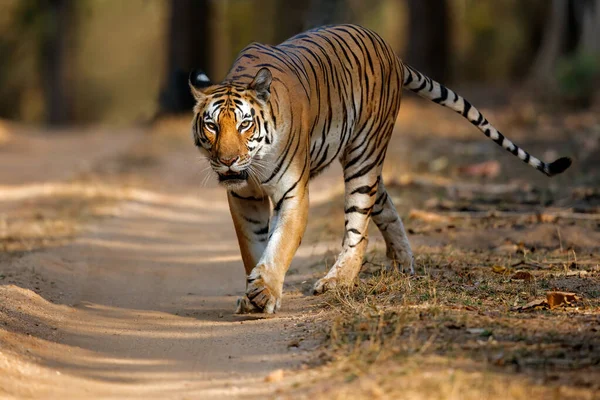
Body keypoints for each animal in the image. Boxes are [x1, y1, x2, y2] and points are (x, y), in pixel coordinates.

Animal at [189, 23, 572, 314]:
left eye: (245, 125)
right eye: (211, 126)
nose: (227, 160)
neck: (252, 167)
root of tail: (392, 54)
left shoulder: (293, 192)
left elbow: (279, 244)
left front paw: (265, 291)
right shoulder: (243, 198)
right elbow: (252, 246)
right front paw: (254, 293)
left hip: (364, 153)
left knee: (359, 227)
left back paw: (337, 281)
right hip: (367, 165)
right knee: (384, 205)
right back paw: (404, 263)